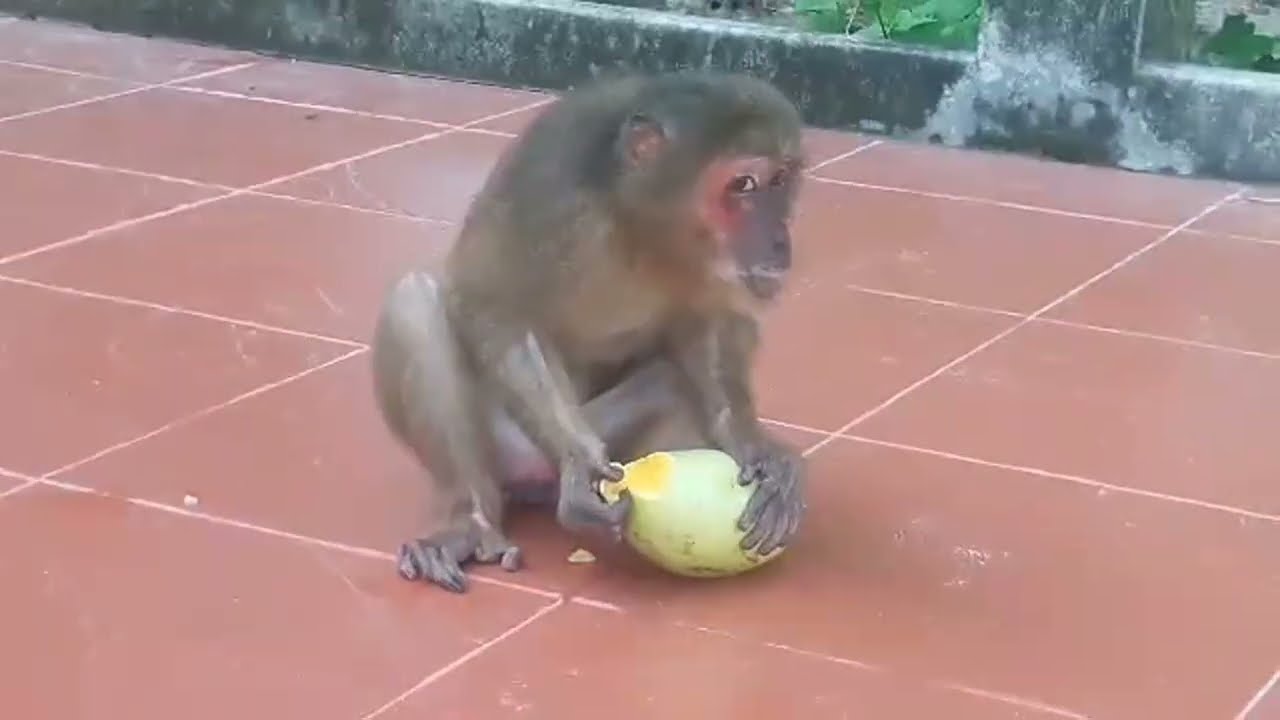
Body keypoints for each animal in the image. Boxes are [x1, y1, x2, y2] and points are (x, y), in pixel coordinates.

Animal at [371, 70, 809, 593]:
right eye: (743, 184)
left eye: (779, 180)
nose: (779, 239)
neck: (640, 229)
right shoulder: (547, 185)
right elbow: (494, 307)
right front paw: (579, 467)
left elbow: (711, 325)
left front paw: (753, 444)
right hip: (510, 449)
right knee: (414, 299)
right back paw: (471, 519)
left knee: (673, 383)